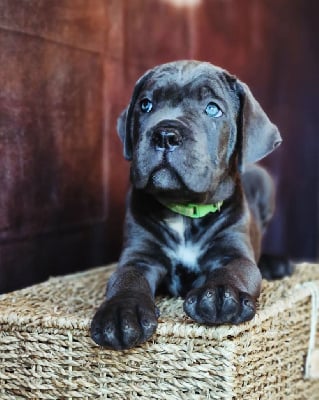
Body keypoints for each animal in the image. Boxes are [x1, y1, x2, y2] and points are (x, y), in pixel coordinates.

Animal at [90, 60, 292, 350]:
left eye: (212, 108)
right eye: (145, 105)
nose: (165, 134)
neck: (184, 211)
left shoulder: (234, 253)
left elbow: (234, 271)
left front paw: (220, 295)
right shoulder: (139, 256)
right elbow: (126, 280)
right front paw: (121, 312)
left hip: (263, 181)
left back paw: (274, 264)